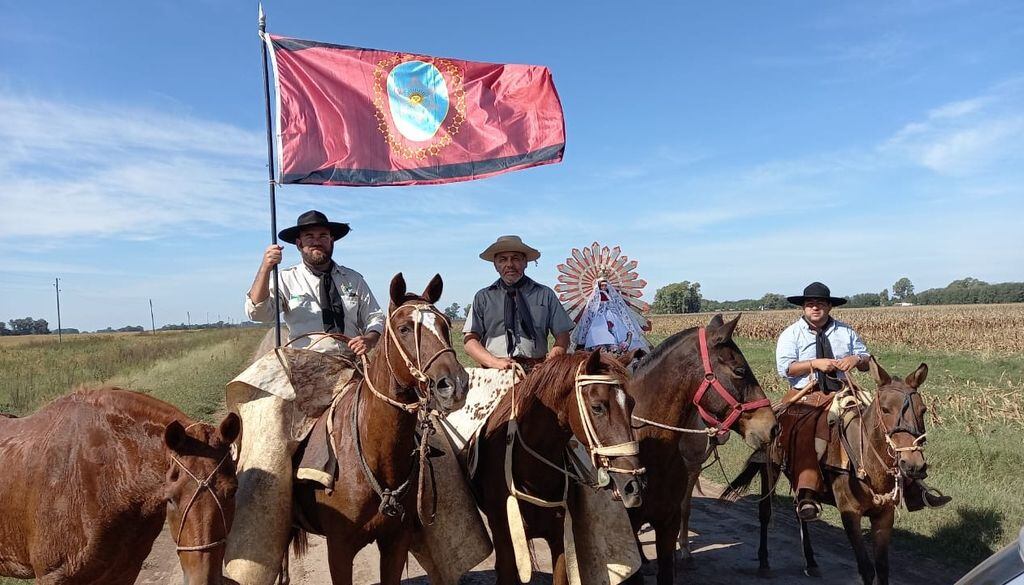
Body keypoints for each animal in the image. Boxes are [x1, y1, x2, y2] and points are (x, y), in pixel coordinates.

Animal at [475, 352, 643, 585]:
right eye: (597, 406)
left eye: (631, 404)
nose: (633, 485)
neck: (532, 474)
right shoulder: (506, 541)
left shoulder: (560, 541)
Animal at [724, 356, 933, 585]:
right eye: (886, 409)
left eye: (923, 410)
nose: (913, 464)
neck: (865, 462)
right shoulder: (850, 514)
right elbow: (866, 569)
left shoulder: (884, 517)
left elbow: (883, 570)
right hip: (770, 470)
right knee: (765, 512)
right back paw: (764, 563)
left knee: (800, 511)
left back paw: (811, 562)